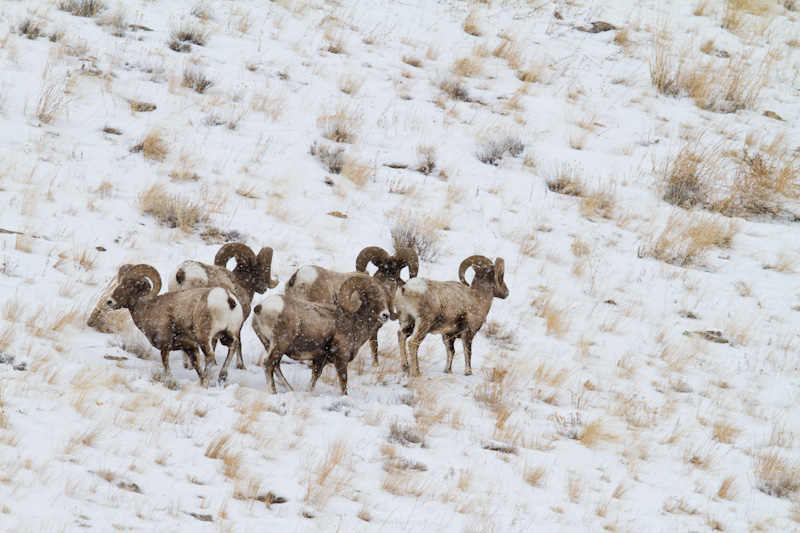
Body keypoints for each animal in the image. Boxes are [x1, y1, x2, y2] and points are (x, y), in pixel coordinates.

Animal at [106, 266, 244, 386]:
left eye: (128, 286)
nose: (109, 302)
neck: (149, 308)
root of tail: (228, 299)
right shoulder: (190, 347)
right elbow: (196, 366)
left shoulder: (165, 345)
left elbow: (166, 366)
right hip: (227, 336)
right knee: (233, 346)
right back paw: (222, 376)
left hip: (205, 338)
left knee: (210, 357)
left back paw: (205, 384)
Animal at [167, 241, 280, 382]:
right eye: (259, 268)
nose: (263, 288)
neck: (241, 284)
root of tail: (182, 273)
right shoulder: (237, 324)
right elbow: (237, 344)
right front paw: (240, 365)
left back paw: (186, 364)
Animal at [250, 274, 388, 394]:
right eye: (371, 299)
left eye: (386, 300)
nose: (385, 315)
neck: (354, 323)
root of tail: (261, 307)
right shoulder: (341, 358)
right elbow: (343, 382)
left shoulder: (321, 358)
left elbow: (315, 376)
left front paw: (307, 392)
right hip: (280, 344)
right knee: (268, 364)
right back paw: (273, 392)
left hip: (269, 344)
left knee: (276, 366)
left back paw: (290, 390)